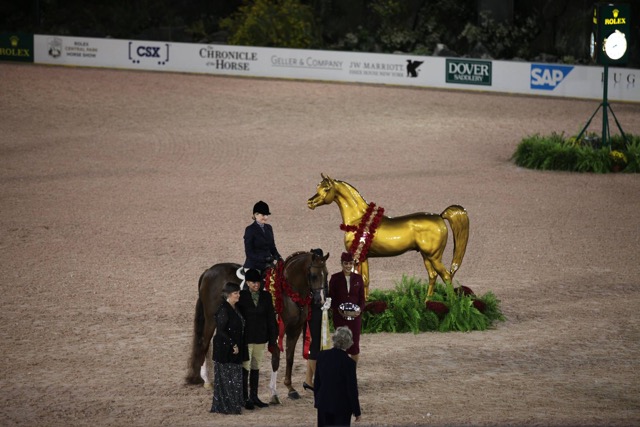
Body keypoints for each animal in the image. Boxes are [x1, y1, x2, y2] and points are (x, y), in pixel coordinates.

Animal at [184, 251, 324, 402]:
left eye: (326, 274)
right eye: (314, 275)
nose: (320, 300)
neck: (289, 290)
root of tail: (208, 271)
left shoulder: (295, 329)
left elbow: (289, 358)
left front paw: (290, 389)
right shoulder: (277, 330)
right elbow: (276, 359)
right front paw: (274, 393)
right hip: (211, 320)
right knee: (204, 343)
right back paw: (208, 381)